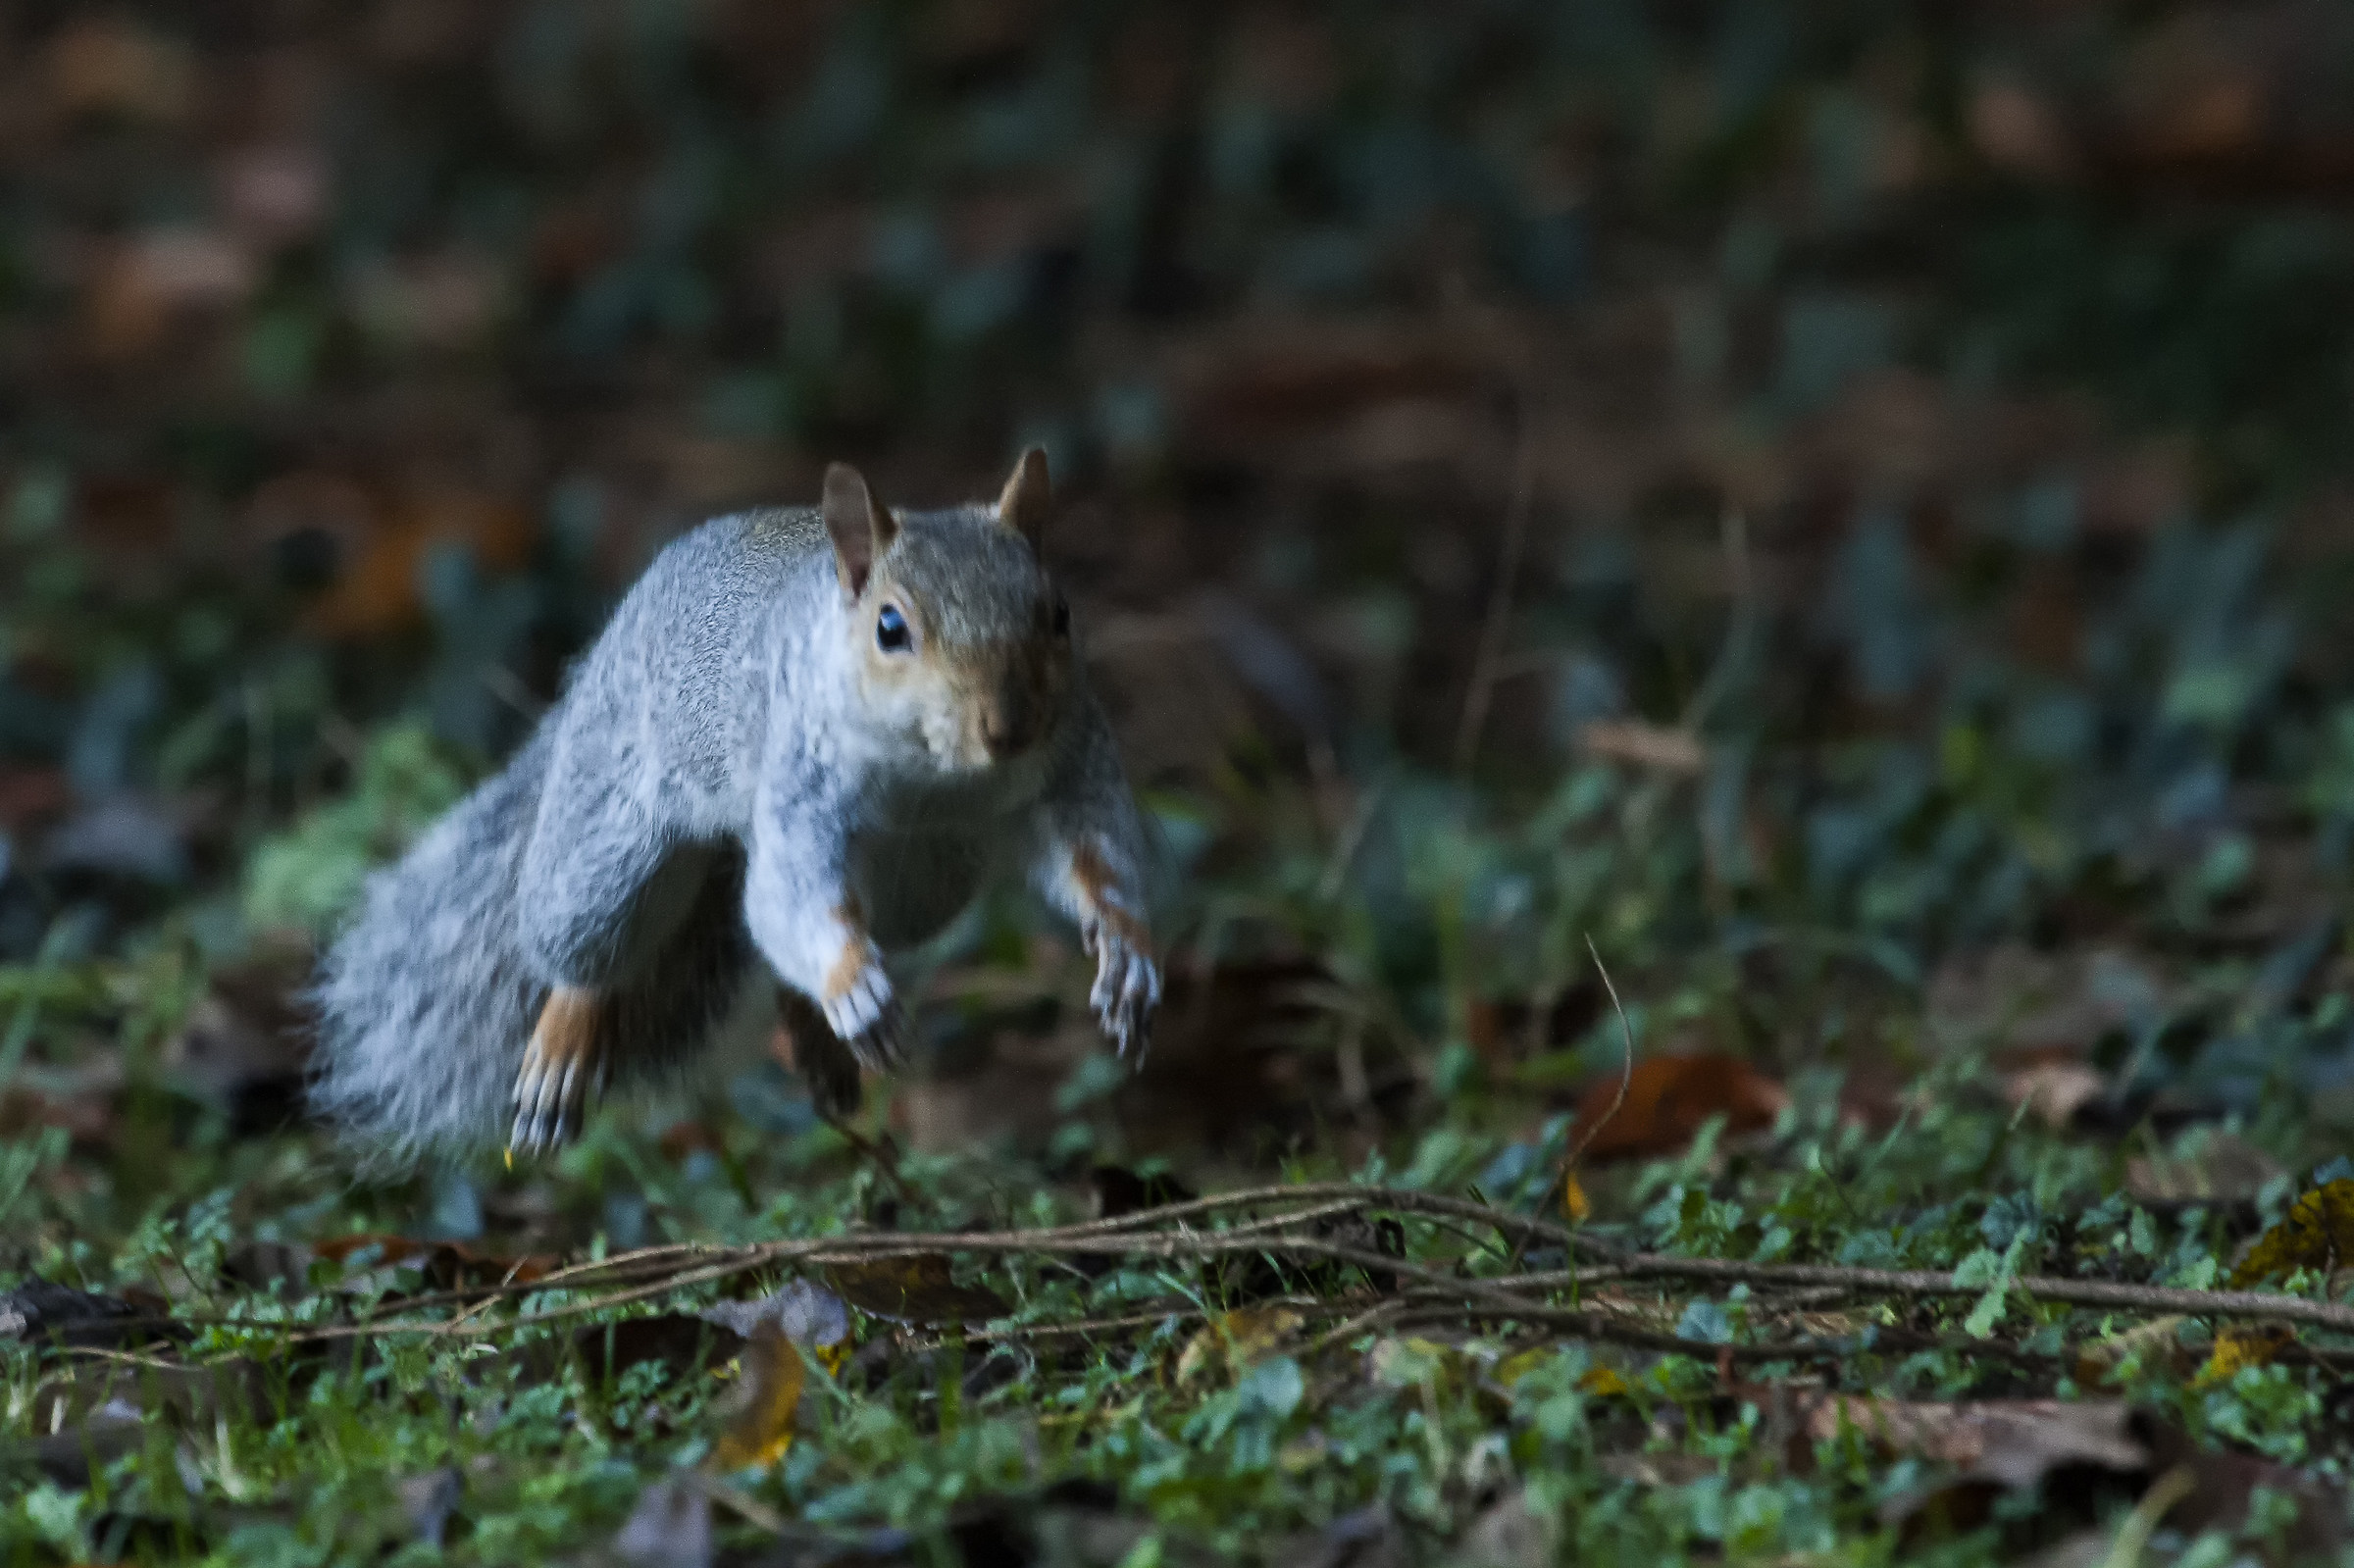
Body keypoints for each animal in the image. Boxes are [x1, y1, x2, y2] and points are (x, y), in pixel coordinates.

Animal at [309, 450, 1160, 1163]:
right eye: (891, 627)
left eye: (1059, 613)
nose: (1007, 727)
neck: (942, 777)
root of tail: (601, 654)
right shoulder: (802, 785)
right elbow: (796, 898)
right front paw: (852, 982)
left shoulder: (1069, 768)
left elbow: (1097, 857)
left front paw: (1126, 946)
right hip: (608, 840)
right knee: (600, 938)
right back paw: (567, 1036)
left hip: (927, 886)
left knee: (775, 941)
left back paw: (817, 1037)